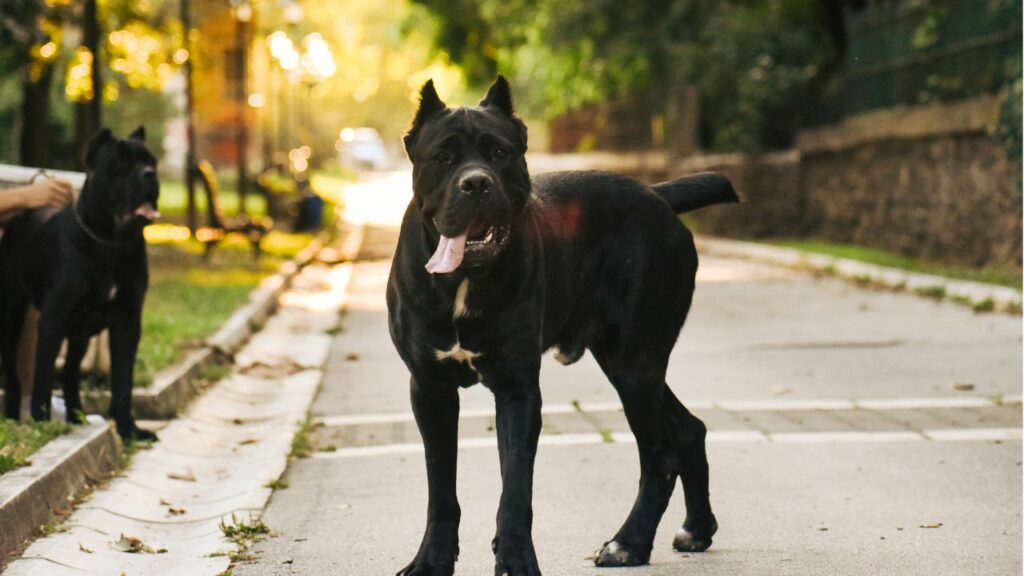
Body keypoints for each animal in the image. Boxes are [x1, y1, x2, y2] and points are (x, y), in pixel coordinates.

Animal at [1, 126, 159, 438]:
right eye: (120, 163)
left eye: (152, 162)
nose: (149, 174)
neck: (110, 242)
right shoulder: (53, 320)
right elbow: (43, 375)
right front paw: (41, 422)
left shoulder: (127, 323)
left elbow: (123, 381)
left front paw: (129, 430)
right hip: (11, 315)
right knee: (14, 373)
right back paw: (14, 417)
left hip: (80, 333)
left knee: (71, 372)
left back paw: (76, 418)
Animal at [385, 77, 737, 573]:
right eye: (443, 157)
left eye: (500, 152)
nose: (476, 183)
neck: (464, 279)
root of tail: (656, 196)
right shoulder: (430, 389)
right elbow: (441, 489)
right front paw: (431, 562)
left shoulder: (517, 388)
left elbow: (515, 488)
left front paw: (515, 559)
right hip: (628, 359)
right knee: (688, 430)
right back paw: (696, 528)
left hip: (636, 360)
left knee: (658, 455)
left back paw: (628, 543)